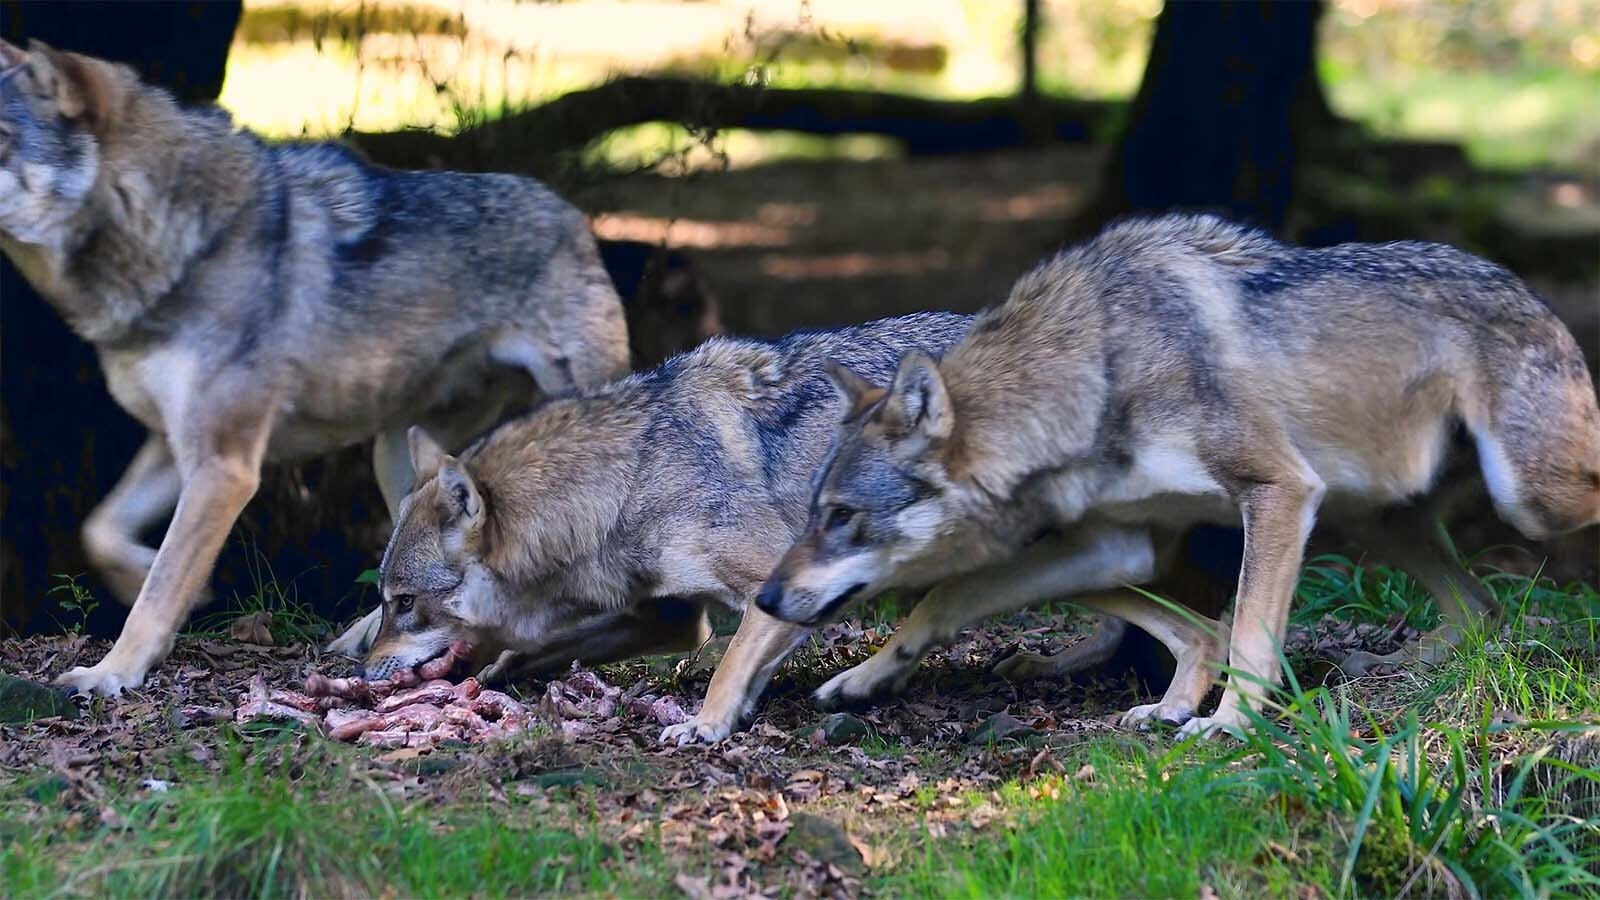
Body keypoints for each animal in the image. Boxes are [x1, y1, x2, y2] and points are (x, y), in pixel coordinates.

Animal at [0, 40, 630, 695]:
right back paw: (365, 637)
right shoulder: (176, 448)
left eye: (0, 136)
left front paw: (112, 671)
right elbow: (100, 533)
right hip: (398, 457)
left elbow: (159, 586)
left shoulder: (224, 468)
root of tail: (576, 219)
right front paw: (151, 586)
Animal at [756, 213, 1600, 738]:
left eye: (839, 516)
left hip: (1523, 501)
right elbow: (946, 599)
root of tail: (1524, 285)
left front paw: (1226, 725)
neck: (1099, 369)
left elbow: (1250, 633)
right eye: (811, 510)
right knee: (1479, 607)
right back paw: (1389, 668)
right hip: (1366, 513)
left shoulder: (1278, 491)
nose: (764, 597)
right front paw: (866, 680)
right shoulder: (1118, 543)